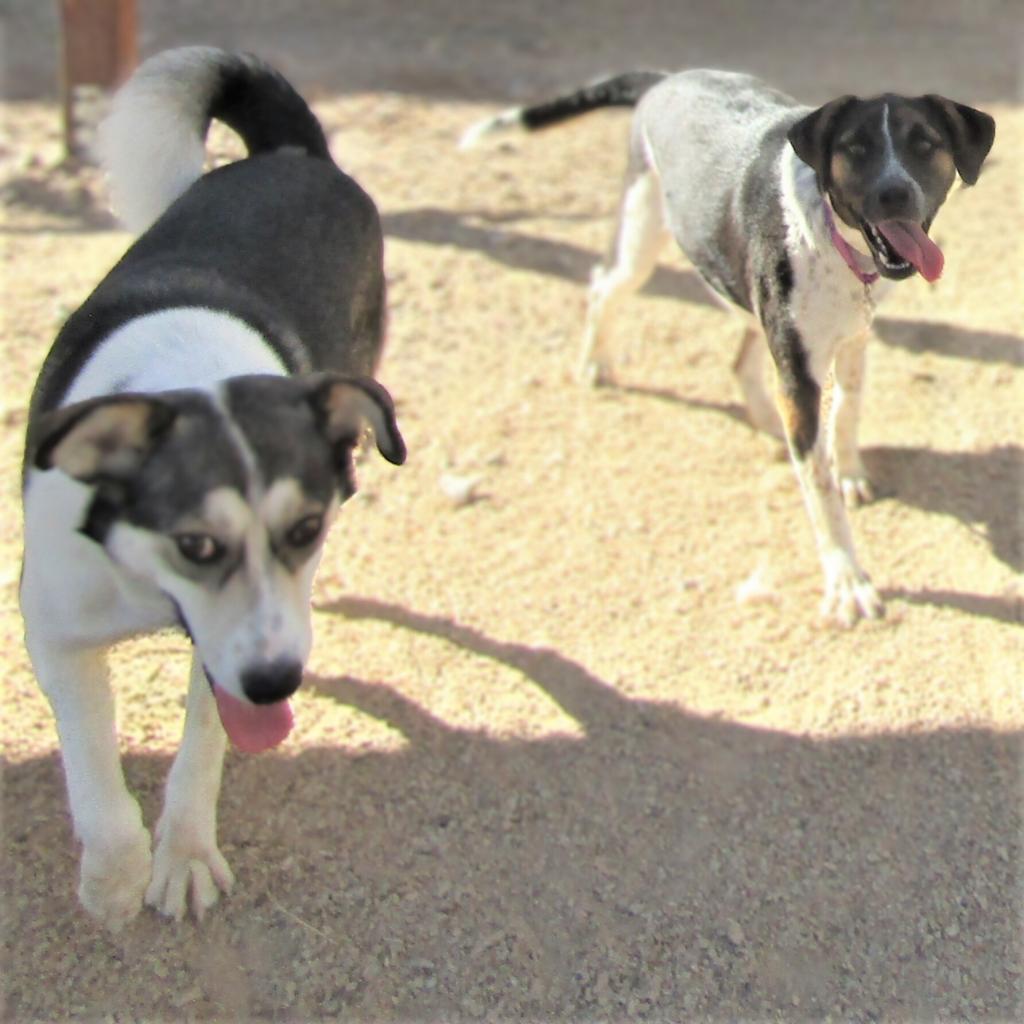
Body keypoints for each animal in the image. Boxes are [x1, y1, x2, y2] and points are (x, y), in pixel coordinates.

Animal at [19, 46, 403, 929]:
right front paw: (114, 874)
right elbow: (90, 756)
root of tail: (292, 155)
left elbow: (203, 742)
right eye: (195, 543)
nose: (279, 680)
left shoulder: (236, 646)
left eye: (306, 529)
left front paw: (185, 854)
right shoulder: (53, 627)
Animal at [464, 70, 991, 622]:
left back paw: (769, 425)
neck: (834, 240)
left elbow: (846, 412)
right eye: (855, 147)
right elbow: (820, 492)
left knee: (742, 361)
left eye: (924, 143)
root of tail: (668, 77)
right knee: (601, 284)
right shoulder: (799, 373)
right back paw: (593, 362)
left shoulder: (853, 335)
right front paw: (847, 579)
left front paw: (848, 471)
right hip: (641, 236)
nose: (894, 195)